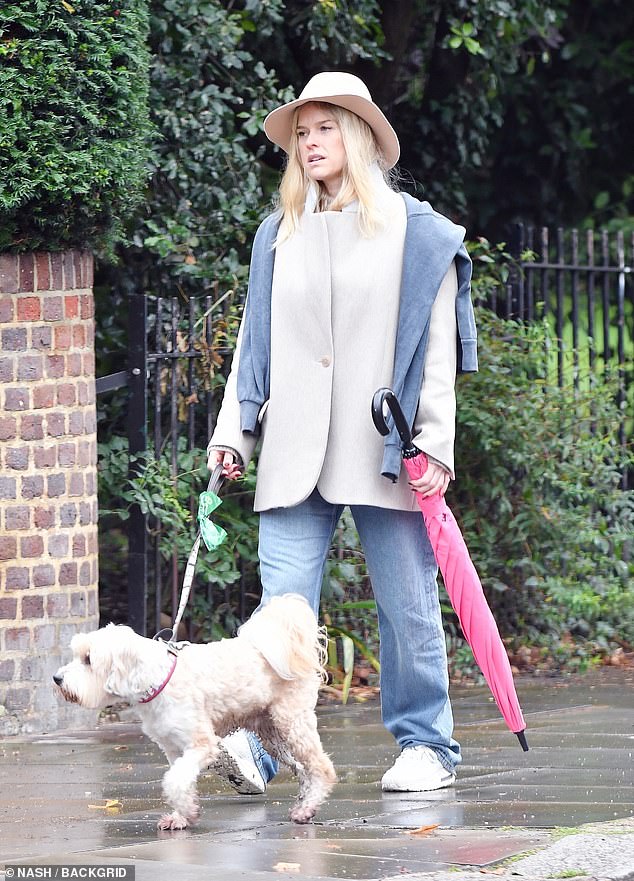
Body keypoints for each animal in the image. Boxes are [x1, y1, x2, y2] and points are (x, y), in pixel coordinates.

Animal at [54, 596, 336, 828]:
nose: (57, 679)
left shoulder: (201, 744)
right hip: (272, 735)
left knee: (321, 767)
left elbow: (174, 780)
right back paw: (304, 803)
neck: (158, 679)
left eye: (88, 659)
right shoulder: (173, 748)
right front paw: (182, 815)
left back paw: (308, 807)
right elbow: (181, 781)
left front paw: (186, 812)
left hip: (292, 722)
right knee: (302, 768)